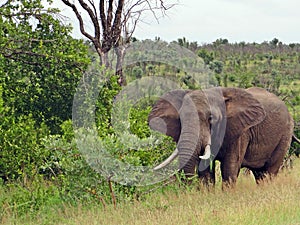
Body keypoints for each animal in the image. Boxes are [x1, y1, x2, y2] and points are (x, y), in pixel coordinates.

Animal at [149, 86, 294, 186]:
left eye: (211, 119)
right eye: (180, 119)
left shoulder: (240, 131)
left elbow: (230, 166)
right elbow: (205, 170)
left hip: (285, 134)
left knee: (269, 171)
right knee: (259, 173)